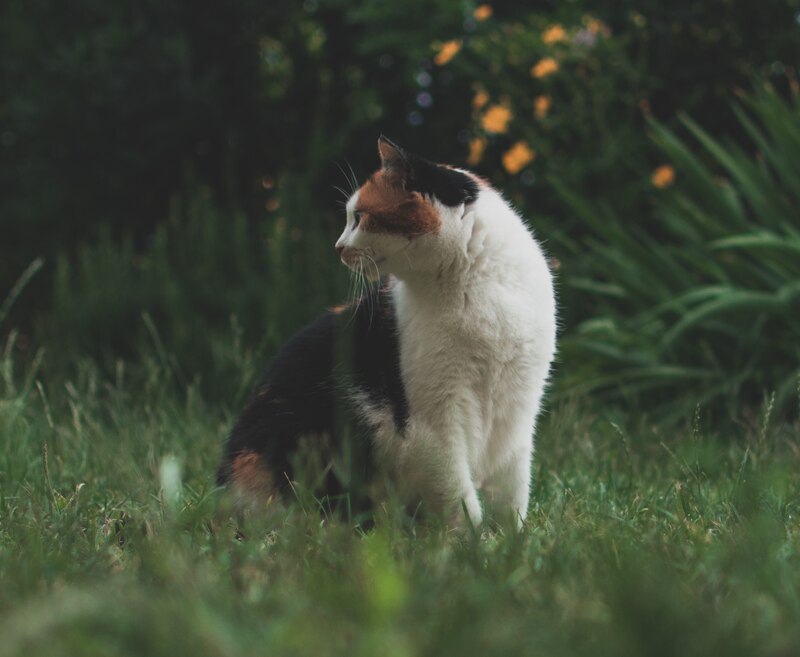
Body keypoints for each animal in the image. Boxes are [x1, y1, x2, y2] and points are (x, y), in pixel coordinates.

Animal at [217, 136, 556, 532]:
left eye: (359, 217)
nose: (338, 247)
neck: (477, 282)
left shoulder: (519, 410)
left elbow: (512, 487)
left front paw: (513, 539)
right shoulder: (434, 419)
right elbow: (457, 491)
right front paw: (471, 543)